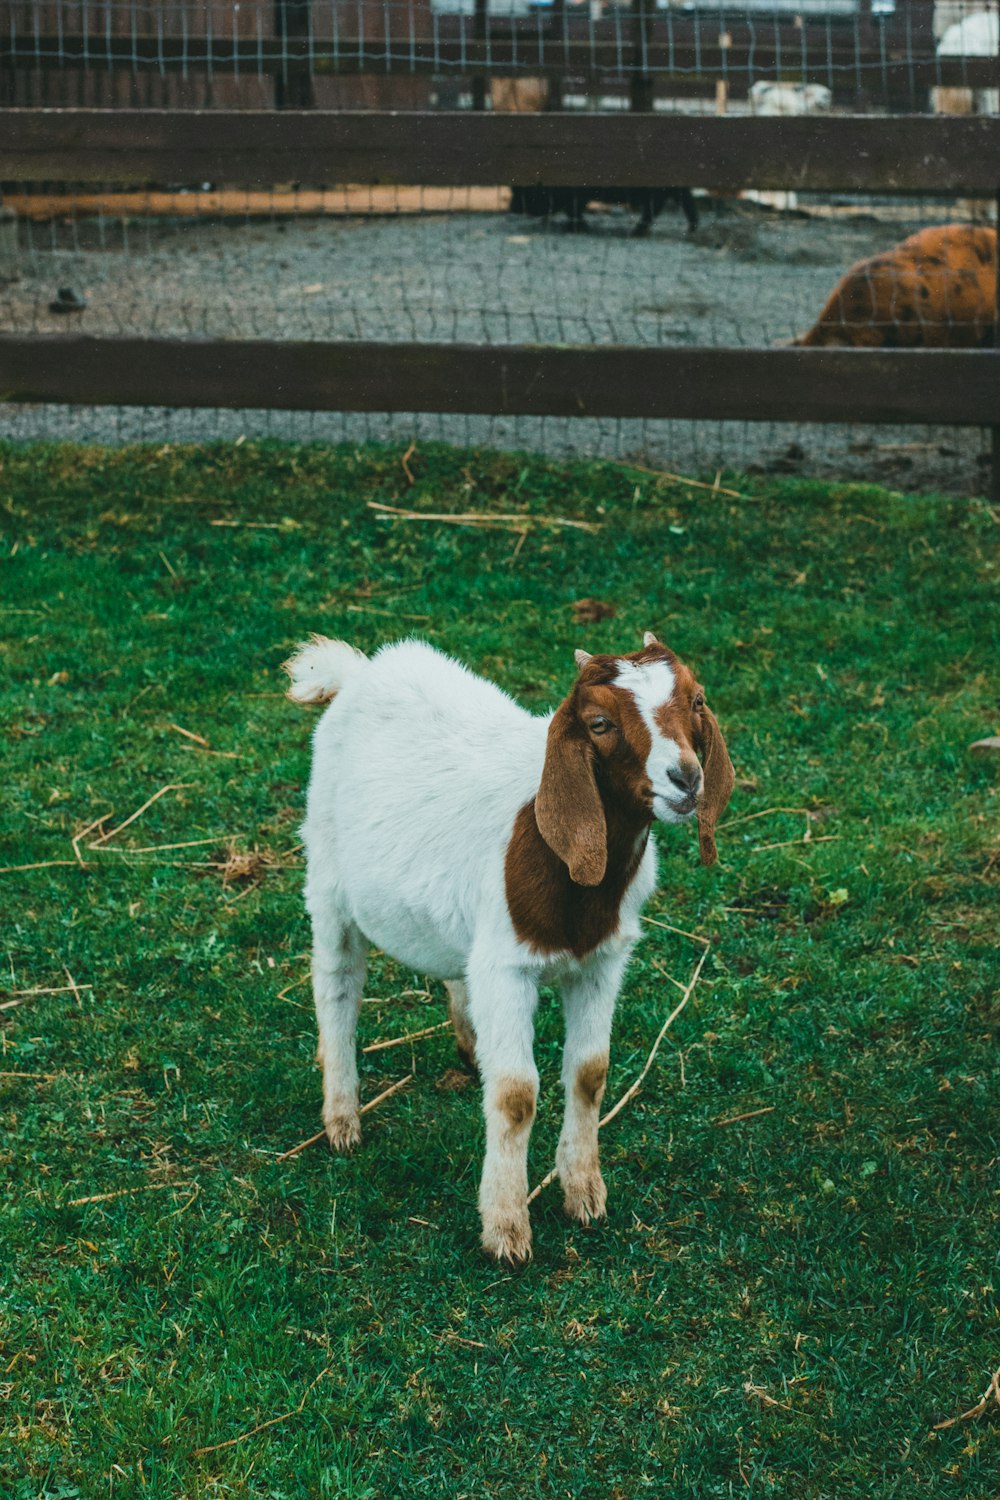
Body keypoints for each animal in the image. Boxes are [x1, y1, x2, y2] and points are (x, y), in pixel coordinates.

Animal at [284, 627, 731, 1260]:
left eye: (696, 700)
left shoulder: (602, 961)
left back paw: (471, 1049)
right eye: (599, 723)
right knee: (337, 984)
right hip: (327, 877)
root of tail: (361, 672)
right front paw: (505, 1226)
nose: (686, 779)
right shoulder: (508, 967)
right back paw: (342, 1116)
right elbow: (517, 1093)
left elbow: (590, 1072)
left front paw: (584, 1192)